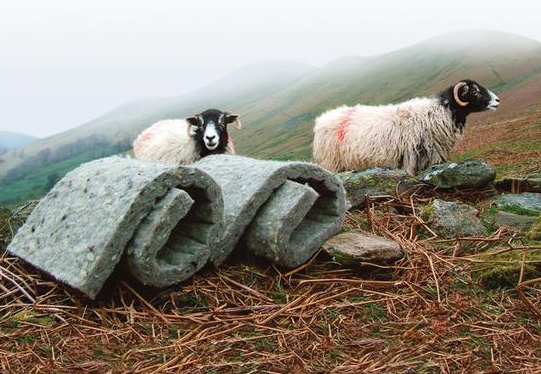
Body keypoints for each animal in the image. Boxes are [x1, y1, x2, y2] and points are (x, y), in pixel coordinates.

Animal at [310, 79, 500, 175]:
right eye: (475, 91)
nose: (497, 100)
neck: (438, 113)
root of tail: (322, 119)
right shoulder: (412, 158)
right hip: (331, 163)